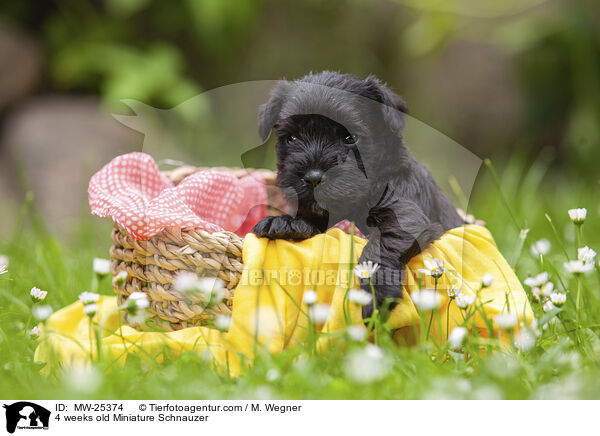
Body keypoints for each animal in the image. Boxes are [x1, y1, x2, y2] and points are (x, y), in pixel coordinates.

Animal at [251, 71, 462, 316]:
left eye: (350, 138)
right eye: (291, 138)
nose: (312, 178)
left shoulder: (406, 214)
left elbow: (383, 243)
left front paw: (375, 290)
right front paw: (286, 223)